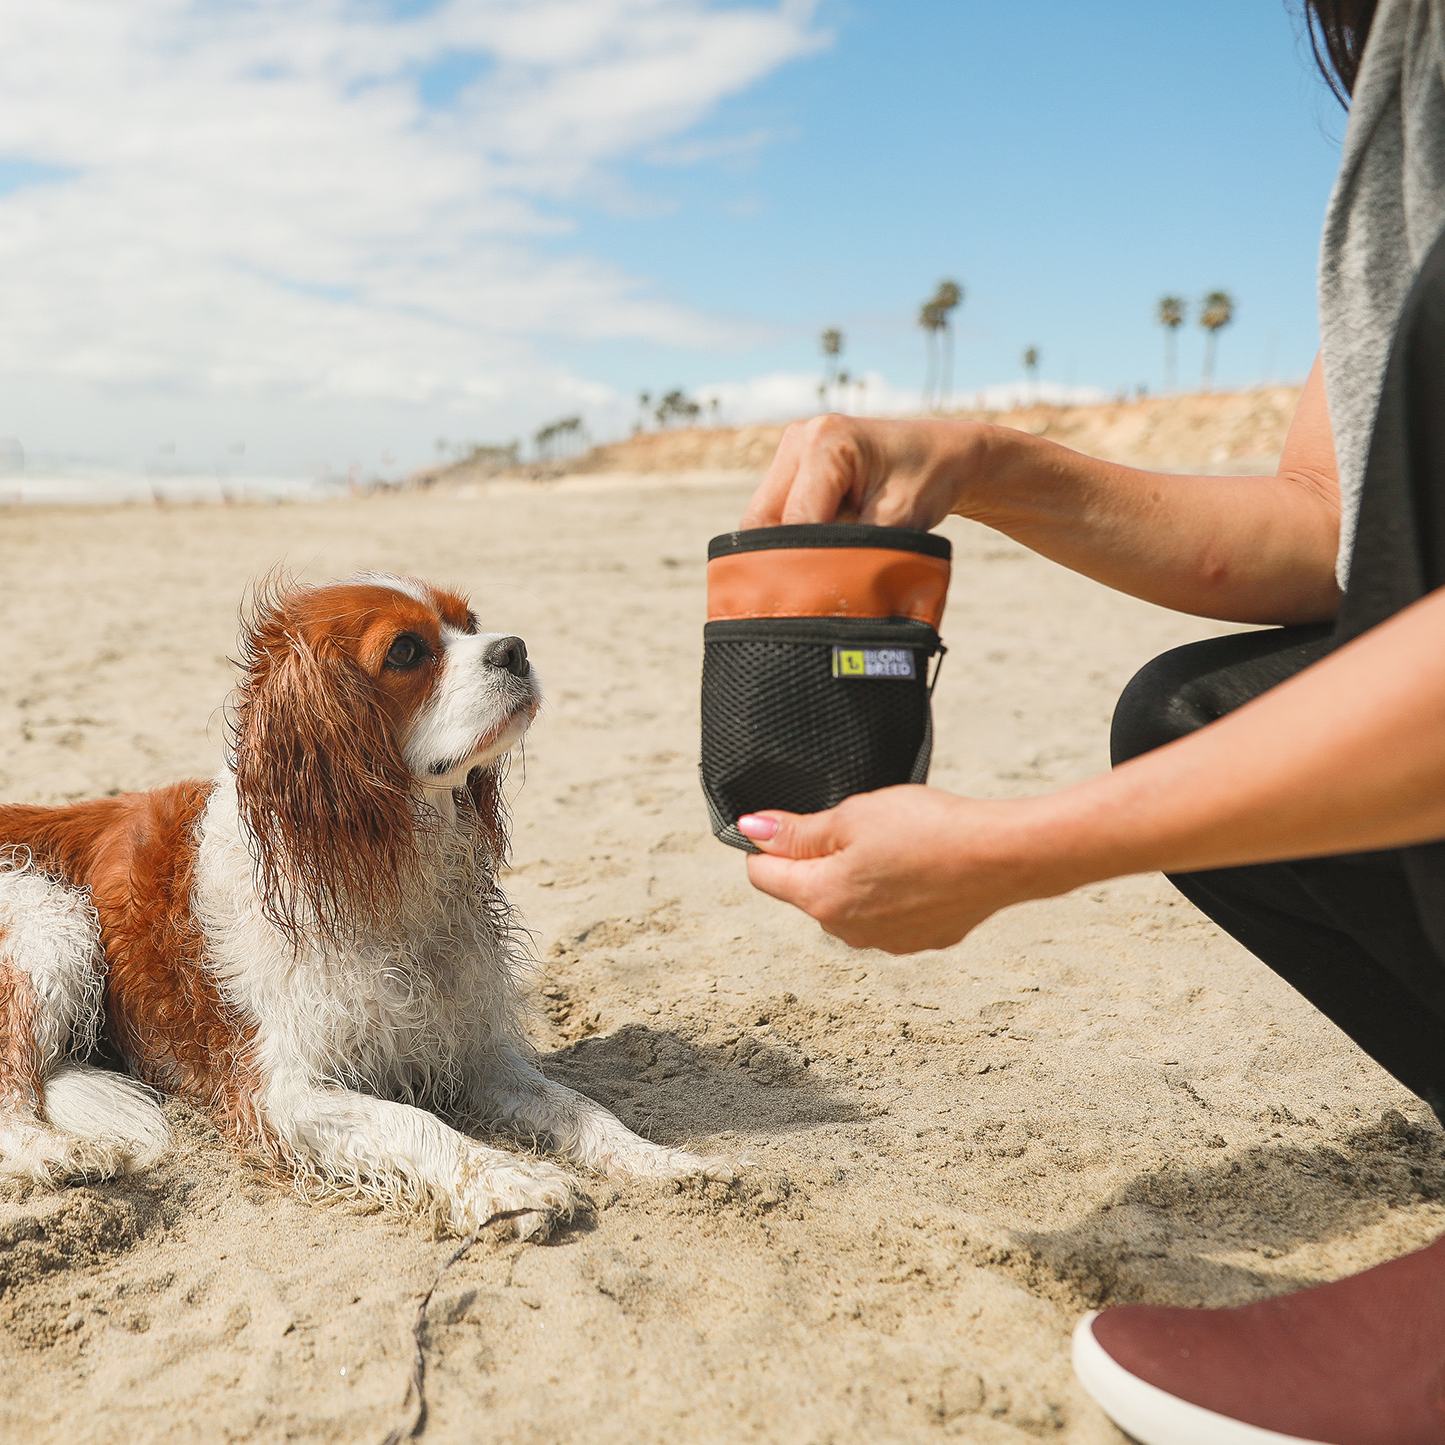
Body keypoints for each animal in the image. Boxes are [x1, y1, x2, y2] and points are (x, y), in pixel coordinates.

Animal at [0, 569, 722, 1236]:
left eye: (469, 622)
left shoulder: (473, 1052)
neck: (388, 866)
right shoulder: (285, 1092)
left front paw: (660, 1160)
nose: (514, 648)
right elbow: (418, 1123)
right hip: (53, 921)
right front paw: (511, 1181)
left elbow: (579, 1105)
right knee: (13, 1092)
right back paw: (59, 1153)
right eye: (405, 651)